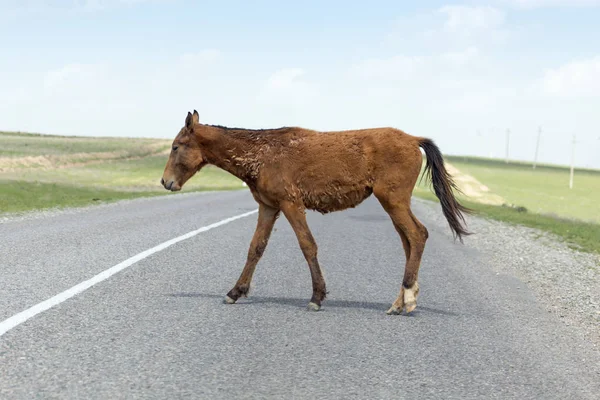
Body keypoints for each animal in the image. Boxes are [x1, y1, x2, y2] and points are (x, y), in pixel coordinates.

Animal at [162, 110, 472, 316]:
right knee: (409, 241)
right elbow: (256, 248)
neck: (261, 154)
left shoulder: (290, 203)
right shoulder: (269, 206)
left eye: (176, 146)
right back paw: (400, 301)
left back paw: (406, 299)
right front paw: (235, 292)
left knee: (418, 235)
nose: (166, 182)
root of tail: (413, 139)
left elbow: (307, 245)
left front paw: (317, 296)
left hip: (393, 200)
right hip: (394, 203)